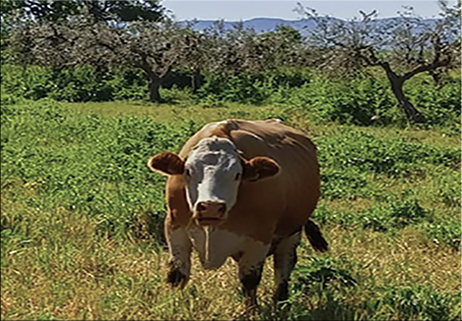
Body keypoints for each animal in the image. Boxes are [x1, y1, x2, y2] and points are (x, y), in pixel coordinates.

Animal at [146, 118, 326, 308]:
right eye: (188, 171)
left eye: (237, 174)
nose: (210, 206)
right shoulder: (175, 228)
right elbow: (178, 274)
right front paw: (173, 304)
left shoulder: (259, 238)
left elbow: (250, 279)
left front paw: (251, 310)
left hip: (292, 233)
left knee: (284, 264)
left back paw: (281, 301)